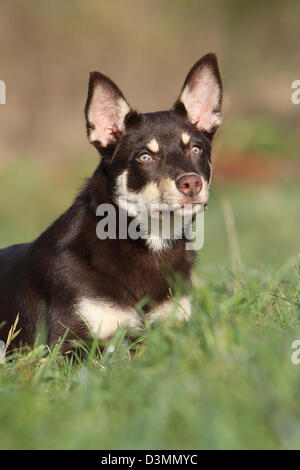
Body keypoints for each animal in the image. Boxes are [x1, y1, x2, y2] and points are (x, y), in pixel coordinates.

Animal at [0, 53, 223, 350]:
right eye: (144, 156)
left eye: (196, 149)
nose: (191, 184)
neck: (149, 242)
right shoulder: (69, 343)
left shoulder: (176, 327)